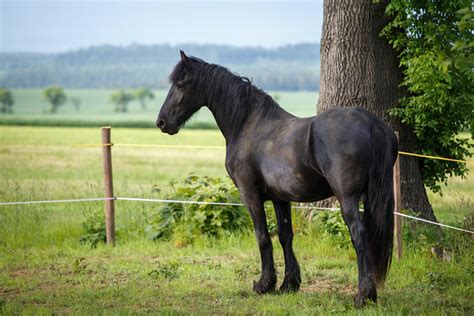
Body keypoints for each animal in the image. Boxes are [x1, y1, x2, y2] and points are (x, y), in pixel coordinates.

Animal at [157, 51, 398, 306]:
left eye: (180, 84)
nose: (161, 122)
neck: (248, 125)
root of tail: (370, 123)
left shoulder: (250, 195)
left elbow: (262, 236)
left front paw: (264, 284)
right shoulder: (280, 198)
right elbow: (285, 236)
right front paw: (289, 284)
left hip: (347, 197)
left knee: (358, 234)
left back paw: (363, 294)